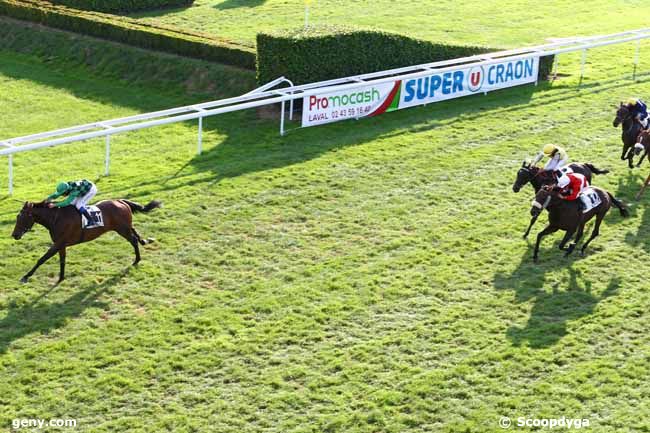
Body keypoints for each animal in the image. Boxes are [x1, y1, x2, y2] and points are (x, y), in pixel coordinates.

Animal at [11, 199, 161, 284]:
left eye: (21, 217)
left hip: (122, 229)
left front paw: (25, 276)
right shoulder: (61, 244)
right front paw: (61, 278)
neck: (56, 218)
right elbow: (62, 260)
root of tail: (121, 201)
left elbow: (42, 259)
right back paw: (145, 241)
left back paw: (137, 260)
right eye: (18, 217)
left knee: (133, 240)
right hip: (125, 227)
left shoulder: (58, 243)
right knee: (135, 232)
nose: (14, 235)